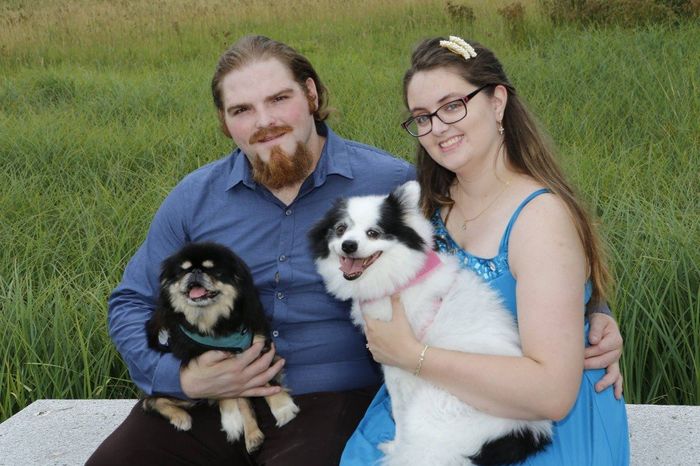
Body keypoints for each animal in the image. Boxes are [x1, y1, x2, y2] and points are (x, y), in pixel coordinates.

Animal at [308, 182, 548, 466]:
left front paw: (395, 443)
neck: (400, 278)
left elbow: (400, 412)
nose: (348, 245)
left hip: (433, 409)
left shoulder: (400, 366)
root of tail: (524, 433)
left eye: (373, 233)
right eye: (340, 229)